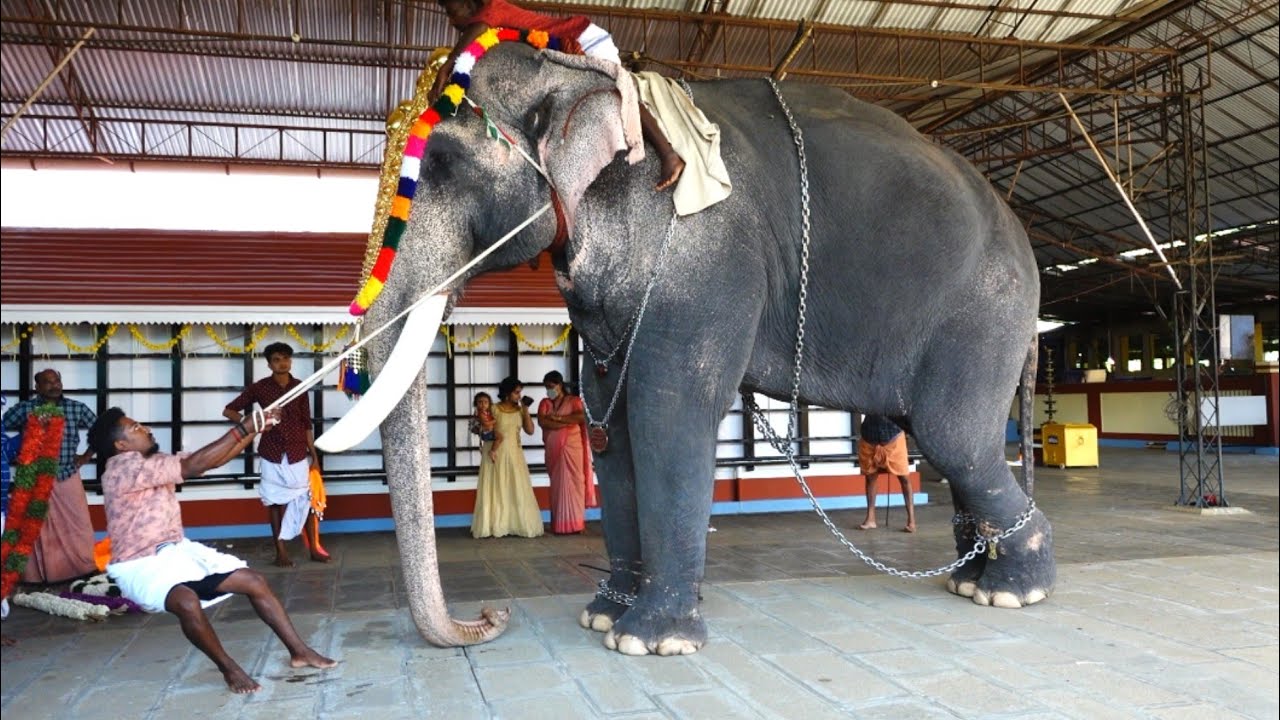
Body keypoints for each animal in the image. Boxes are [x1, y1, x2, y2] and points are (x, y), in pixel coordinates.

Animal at [318, 40, 1051, 657]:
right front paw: (602, 617)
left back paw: (1014, 590)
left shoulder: (706, 258)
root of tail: (1021, 230)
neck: (586, 77)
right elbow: (609, 422)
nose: (491, 616)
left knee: (952, 436)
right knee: (944, 441)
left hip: (985, 312)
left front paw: (650, 641)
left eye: (441, 163)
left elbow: (669, 413)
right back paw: (971, 579)